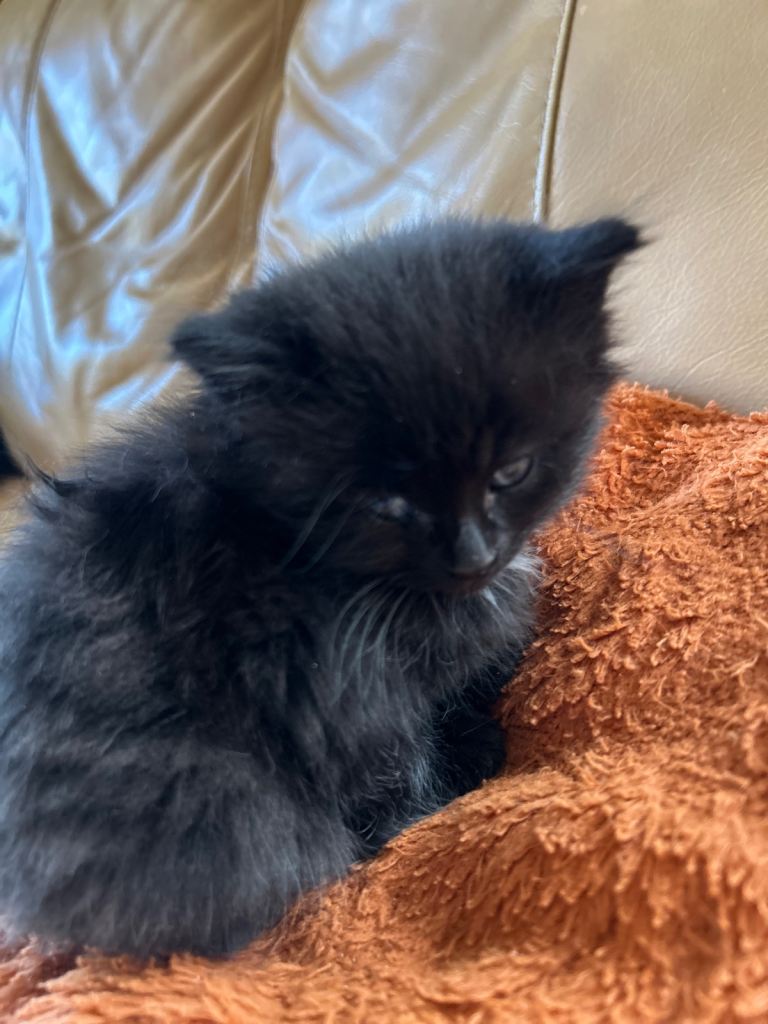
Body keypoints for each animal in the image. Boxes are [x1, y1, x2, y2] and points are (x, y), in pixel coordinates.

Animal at [0, 216, 638, 959]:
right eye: (387, 504)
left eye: (511, 471)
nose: (473, 553)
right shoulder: (333, 693)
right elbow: (392, 769)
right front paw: (437, 800)